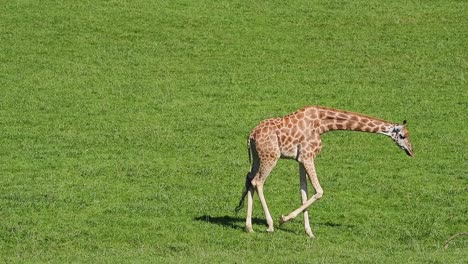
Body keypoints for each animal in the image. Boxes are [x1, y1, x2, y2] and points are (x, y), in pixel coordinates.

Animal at [234, 105, 414, 237]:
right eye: (403, 136)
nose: (411, 151)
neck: (323, 125)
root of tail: (251, 136)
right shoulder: (308, 156)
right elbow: (319, 191)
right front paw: (283, 219)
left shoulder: (301, 159)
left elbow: (303, 192)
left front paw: (309, 232)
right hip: (271, 156)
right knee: (258, 182)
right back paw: (270, 225)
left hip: (258, 157)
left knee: (249, 179)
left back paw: (249, 227)